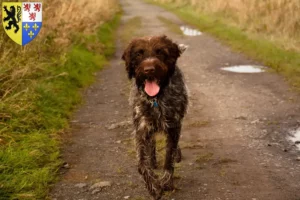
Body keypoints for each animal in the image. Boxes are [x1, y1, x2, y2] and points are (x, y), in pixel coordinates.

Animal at [121, 35, 188, 199]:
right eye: (139, 54)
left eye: (160, 52)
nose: (149, 69)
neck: (156, 99)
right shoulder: (141, 129)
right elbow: (142, 164)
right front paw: (153, 187)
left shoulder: (174, 127)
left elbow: (169, 158)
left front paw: (166, 182)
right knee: (151, 144)